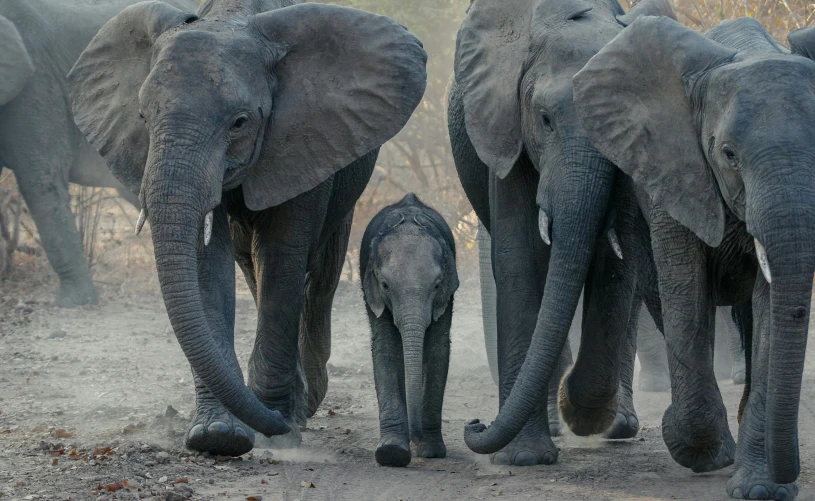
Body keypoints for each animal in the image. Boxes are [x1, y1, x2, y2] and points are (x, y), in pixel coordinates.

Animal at [68, 0, 428, 458]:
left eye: (239, 123)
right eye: (143, 118)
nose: (275, 422)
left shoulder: (304, 138)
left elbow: (282, 256)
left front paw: (278, 429)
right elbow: (208, 264)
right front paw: (217, 435)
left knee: (318, 278)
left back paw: (304, 406)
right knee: (252, 268)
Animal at [362, 193, 460, 466]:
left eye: (437, 285)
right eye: (385, 285)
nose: (415, 436)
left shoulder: (446, 295)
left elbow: (438, 349)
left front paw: (431, 451)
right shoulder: (374, 294)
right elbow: (385, 348)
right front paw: (392, 453)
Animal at [446, 0, 676, 464]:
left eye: (615, 125)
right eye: (546, 119)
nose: (473, 423)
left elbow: (616, 266)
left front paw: (582, 412)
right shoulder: (507, 130)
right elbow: (518, 260)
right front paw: (524, 458)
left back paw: (615, 426)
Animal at [572, 14, 815, 496]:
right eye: (728, 154)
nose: (788, 471)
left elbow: (769, 311)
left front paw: (761, 489)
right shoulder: (672, 171)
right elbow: (686, 290)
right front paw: (702, 453)